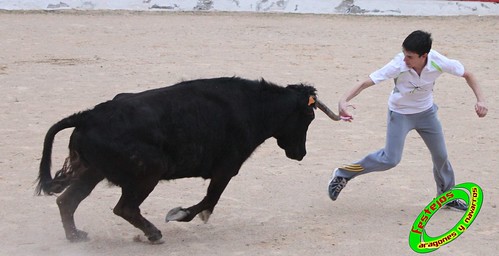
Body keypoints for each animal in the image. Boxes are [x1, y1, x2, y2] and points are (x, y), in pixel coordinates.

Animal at [36, 76, 340, 242]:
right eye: (309, 117)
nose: (300, 153)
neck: (254, 106)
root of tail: (87, 116)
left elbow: (209, 200)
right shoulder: (226, 169)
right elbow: (209, 200)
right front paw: (179, 214)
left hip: (92, 172)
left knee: (67, 201)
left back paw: (76, 236)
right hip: (148, 173)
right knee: (125, 208)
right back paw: (154, 234)